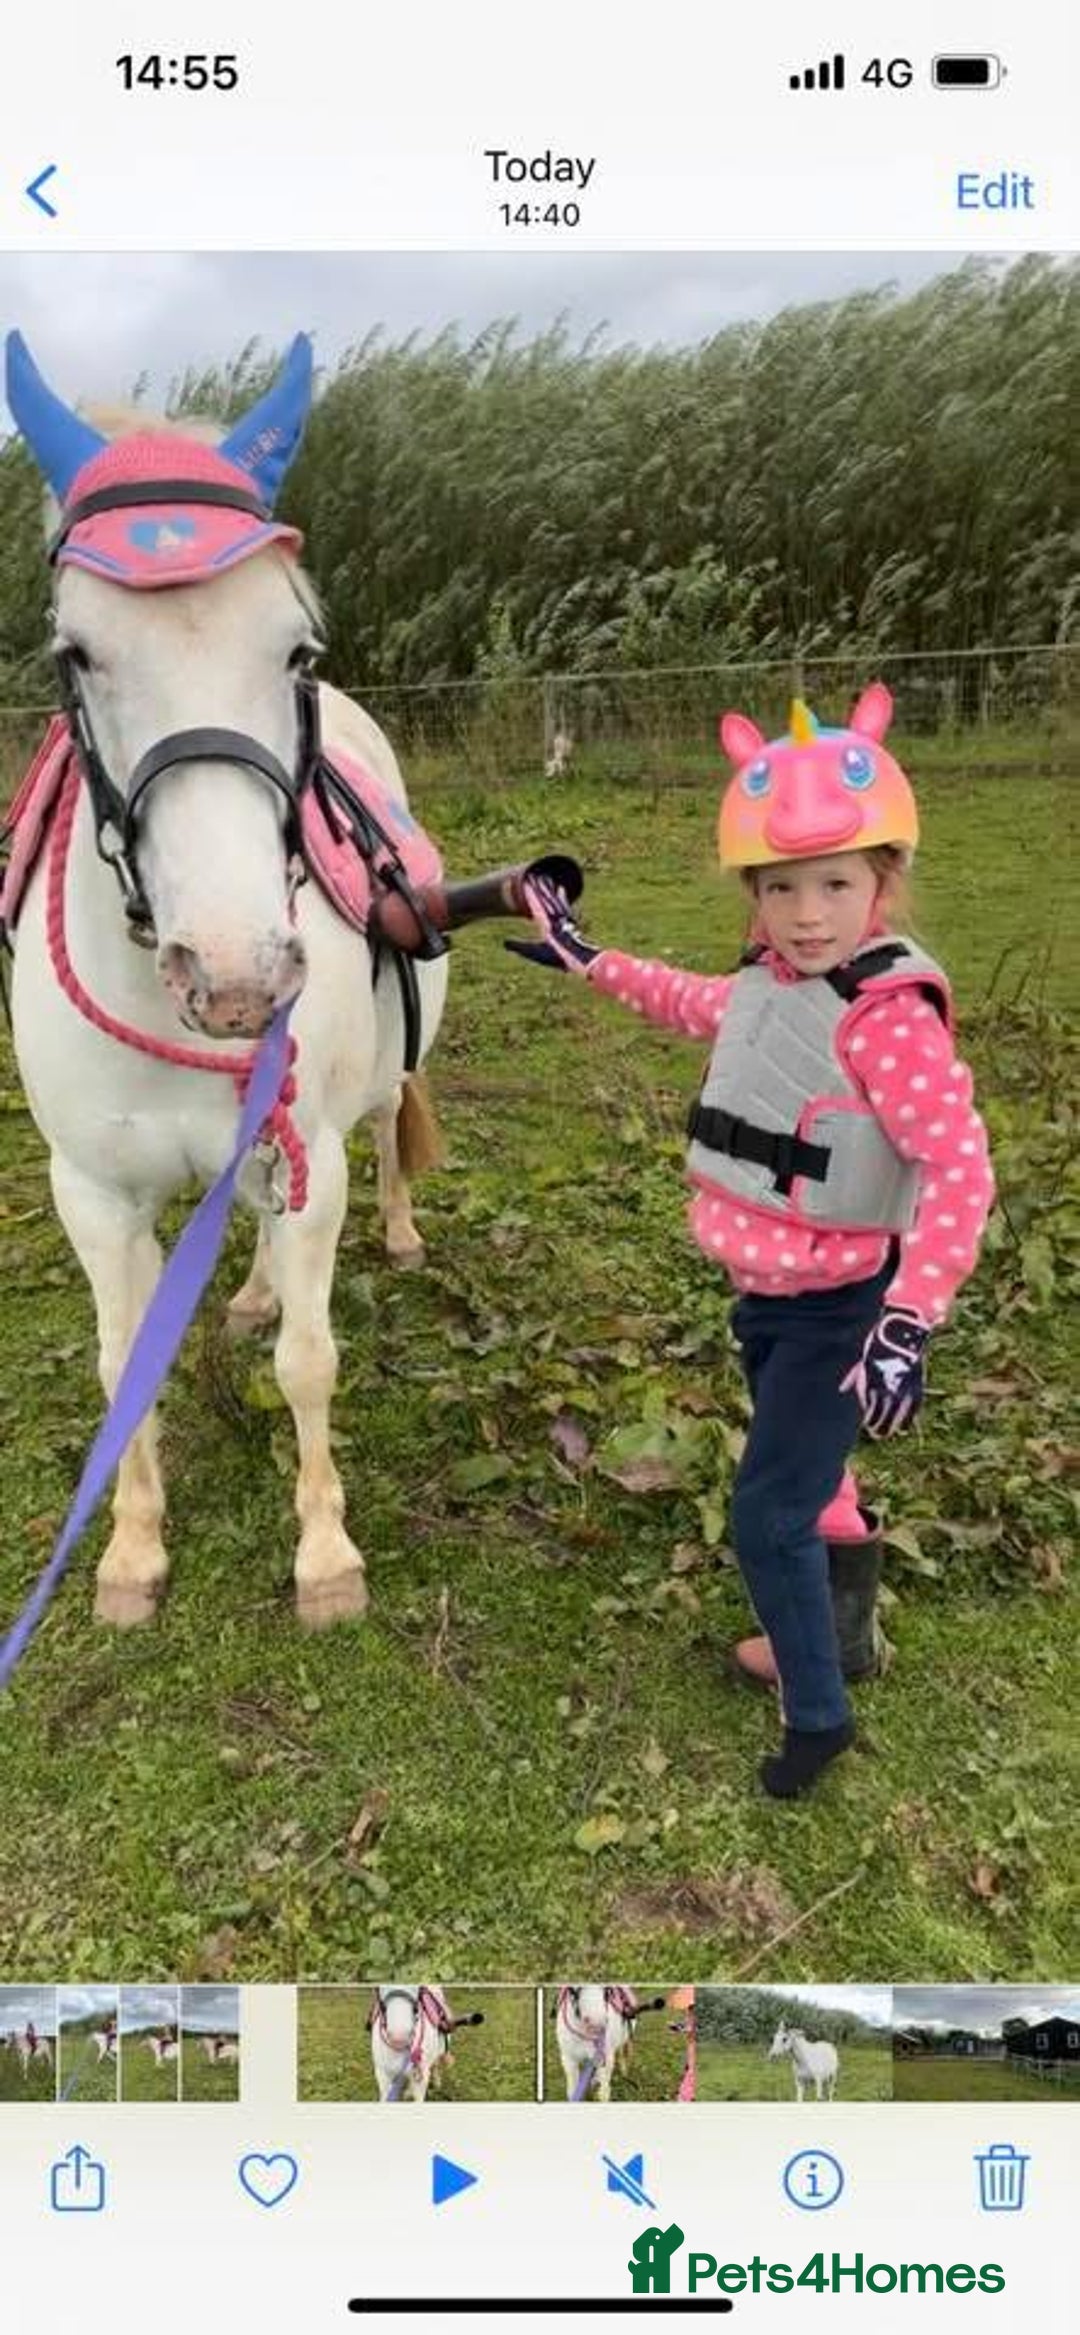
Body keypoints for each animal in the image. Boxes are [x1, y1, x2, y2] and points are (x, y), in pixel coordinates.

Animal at [3, 330, 449, 1631]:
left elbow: (309, 1360)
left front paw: (326, 1556)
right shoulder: (92, 1192)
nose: (240, 972)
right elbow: (123, 1366)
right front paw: (131, 1553)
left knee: (379, 1135)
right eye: (75, 651)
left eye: (294, 647)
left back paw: (390, 1235)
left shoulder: (313, 1162)